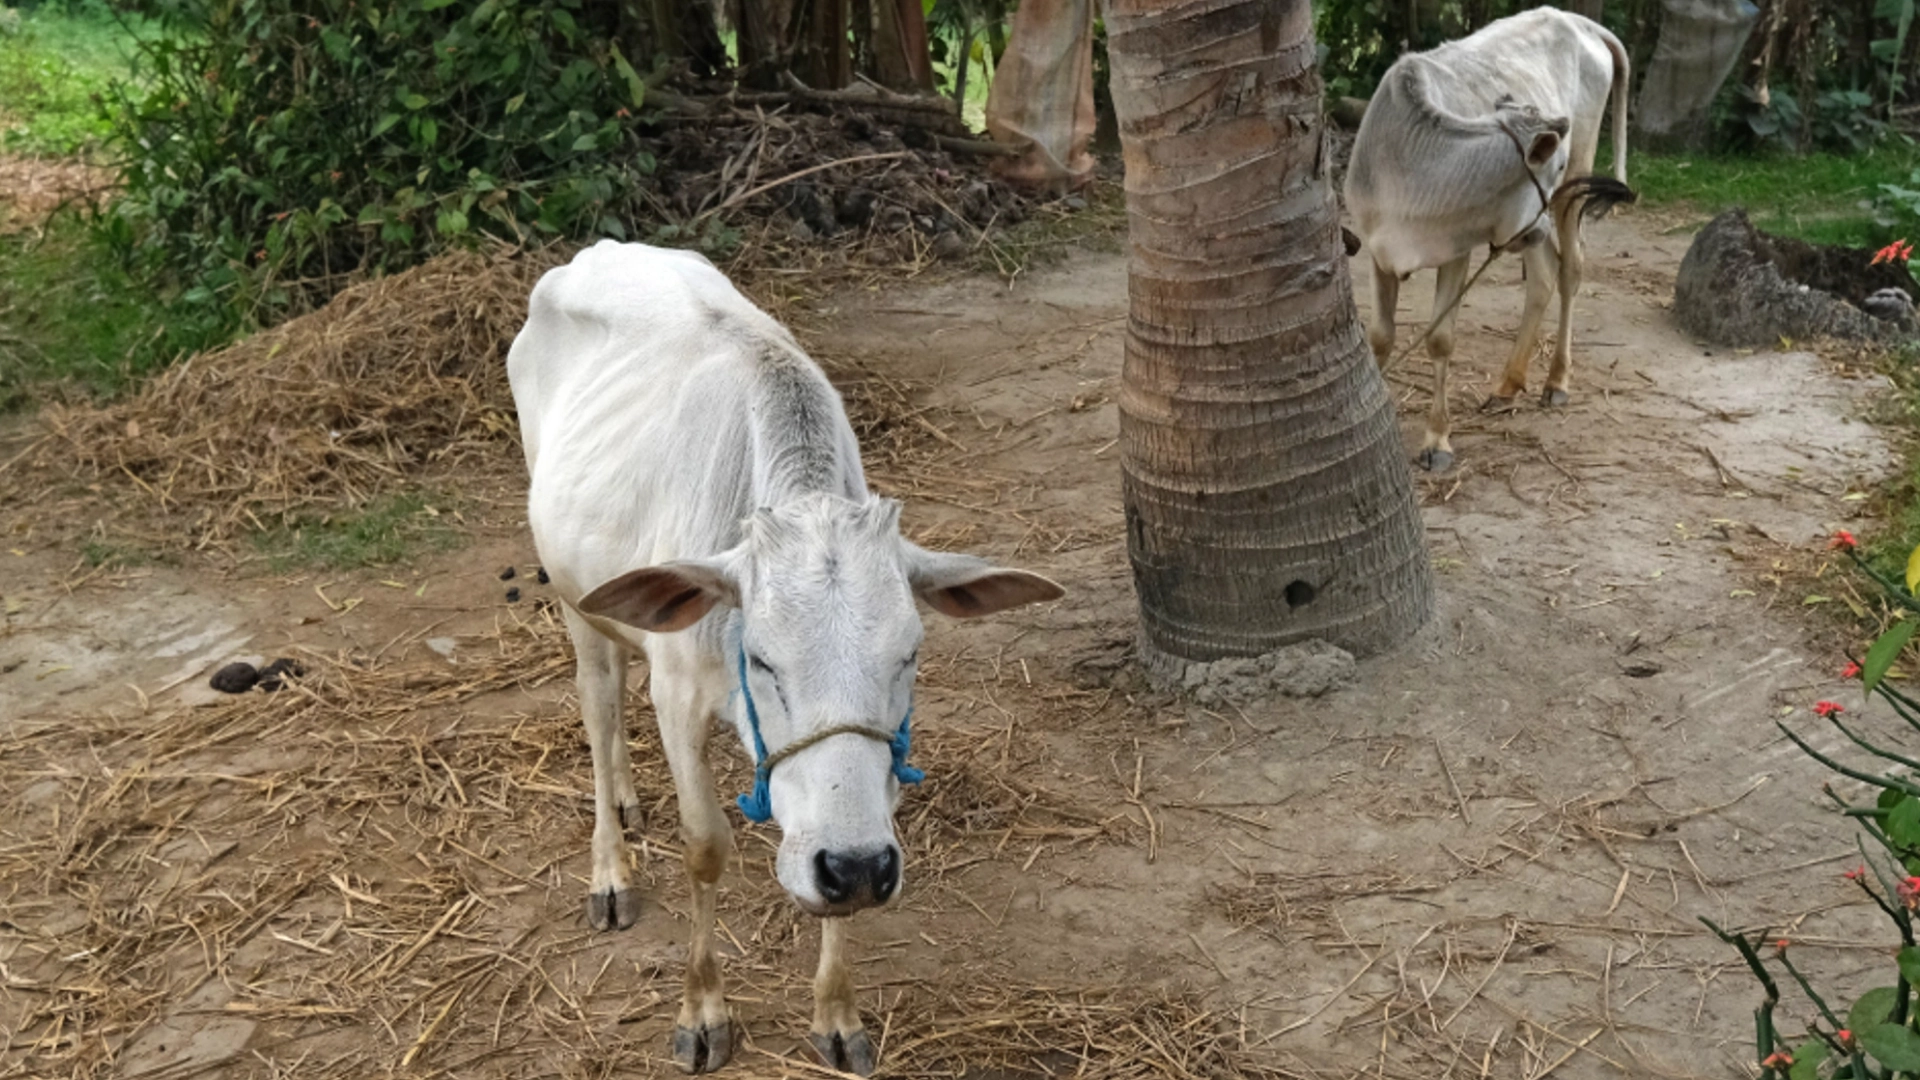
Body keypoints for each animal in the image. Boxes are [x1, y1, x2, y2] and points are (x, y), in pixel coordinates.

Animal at [507, 240, 1064, 1075]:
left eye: (909, 656)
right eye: (763, 660)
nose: (858, 868)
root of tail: (601, 250)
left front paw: (836, 1011)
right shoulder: (679, 697)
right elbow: (705, 846)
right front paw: (703, 1011)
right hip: (575, 600)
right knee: (599, 706)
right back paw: (611, 866)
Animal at [1343, 7, 1637, 472]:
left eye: (1558, 166)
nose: (1538, 225)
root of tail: (1576, 20)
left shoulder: (1458, 251)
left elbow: (1440, 340)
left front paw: (1437, 440)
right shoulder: (1376, 248)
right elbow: (1381, 337)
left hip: (1574, 189)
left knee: (1571, 272)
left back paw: (1557, 380)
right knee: (1543, 277)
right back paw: (1508, 384)